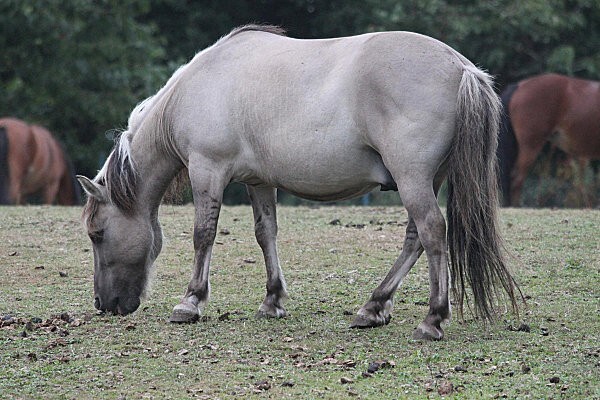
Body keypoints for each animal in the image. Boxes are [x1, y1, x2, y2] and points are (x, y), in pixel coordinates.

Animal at [77, 25, 516, 340]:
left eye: (97, 234)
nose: (103, 303)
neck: (201, 86)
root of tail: (461, 67)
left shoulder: (208, 170)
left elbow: (203, 234)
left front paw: (190, 302)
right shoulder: (258, 182)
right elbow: (265, 233)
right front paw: (272, 300)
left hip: (413, 179)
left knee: (431, 232)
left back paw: (431, 319)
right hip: (426, 180)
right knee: (415, 240)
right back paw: (373, 307)